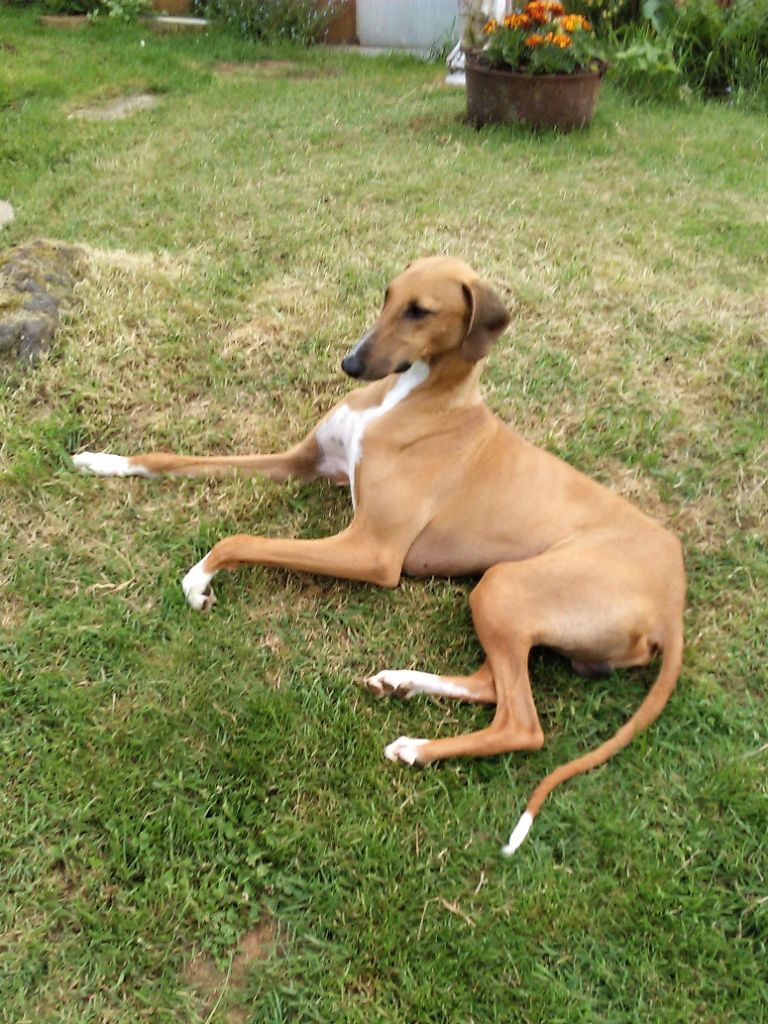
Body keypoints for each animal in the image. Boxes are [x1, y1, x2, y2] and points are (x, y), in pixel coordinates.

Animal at [73, 256, 685, 854]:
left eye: (421, 311)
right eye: (388, 295)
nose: (350, 364)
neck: (406, 398)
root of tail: (673, 603)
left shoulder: (371, 550)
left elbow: (240, 540)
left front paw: (200, 579)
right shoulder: (301, 462)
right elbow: (171, 459)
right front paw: (104, 460)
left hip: (507, 587)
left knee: (522, 724)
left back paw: (418, 747)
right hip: (504, 598)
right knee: (491, 685)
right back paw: (403, 682)